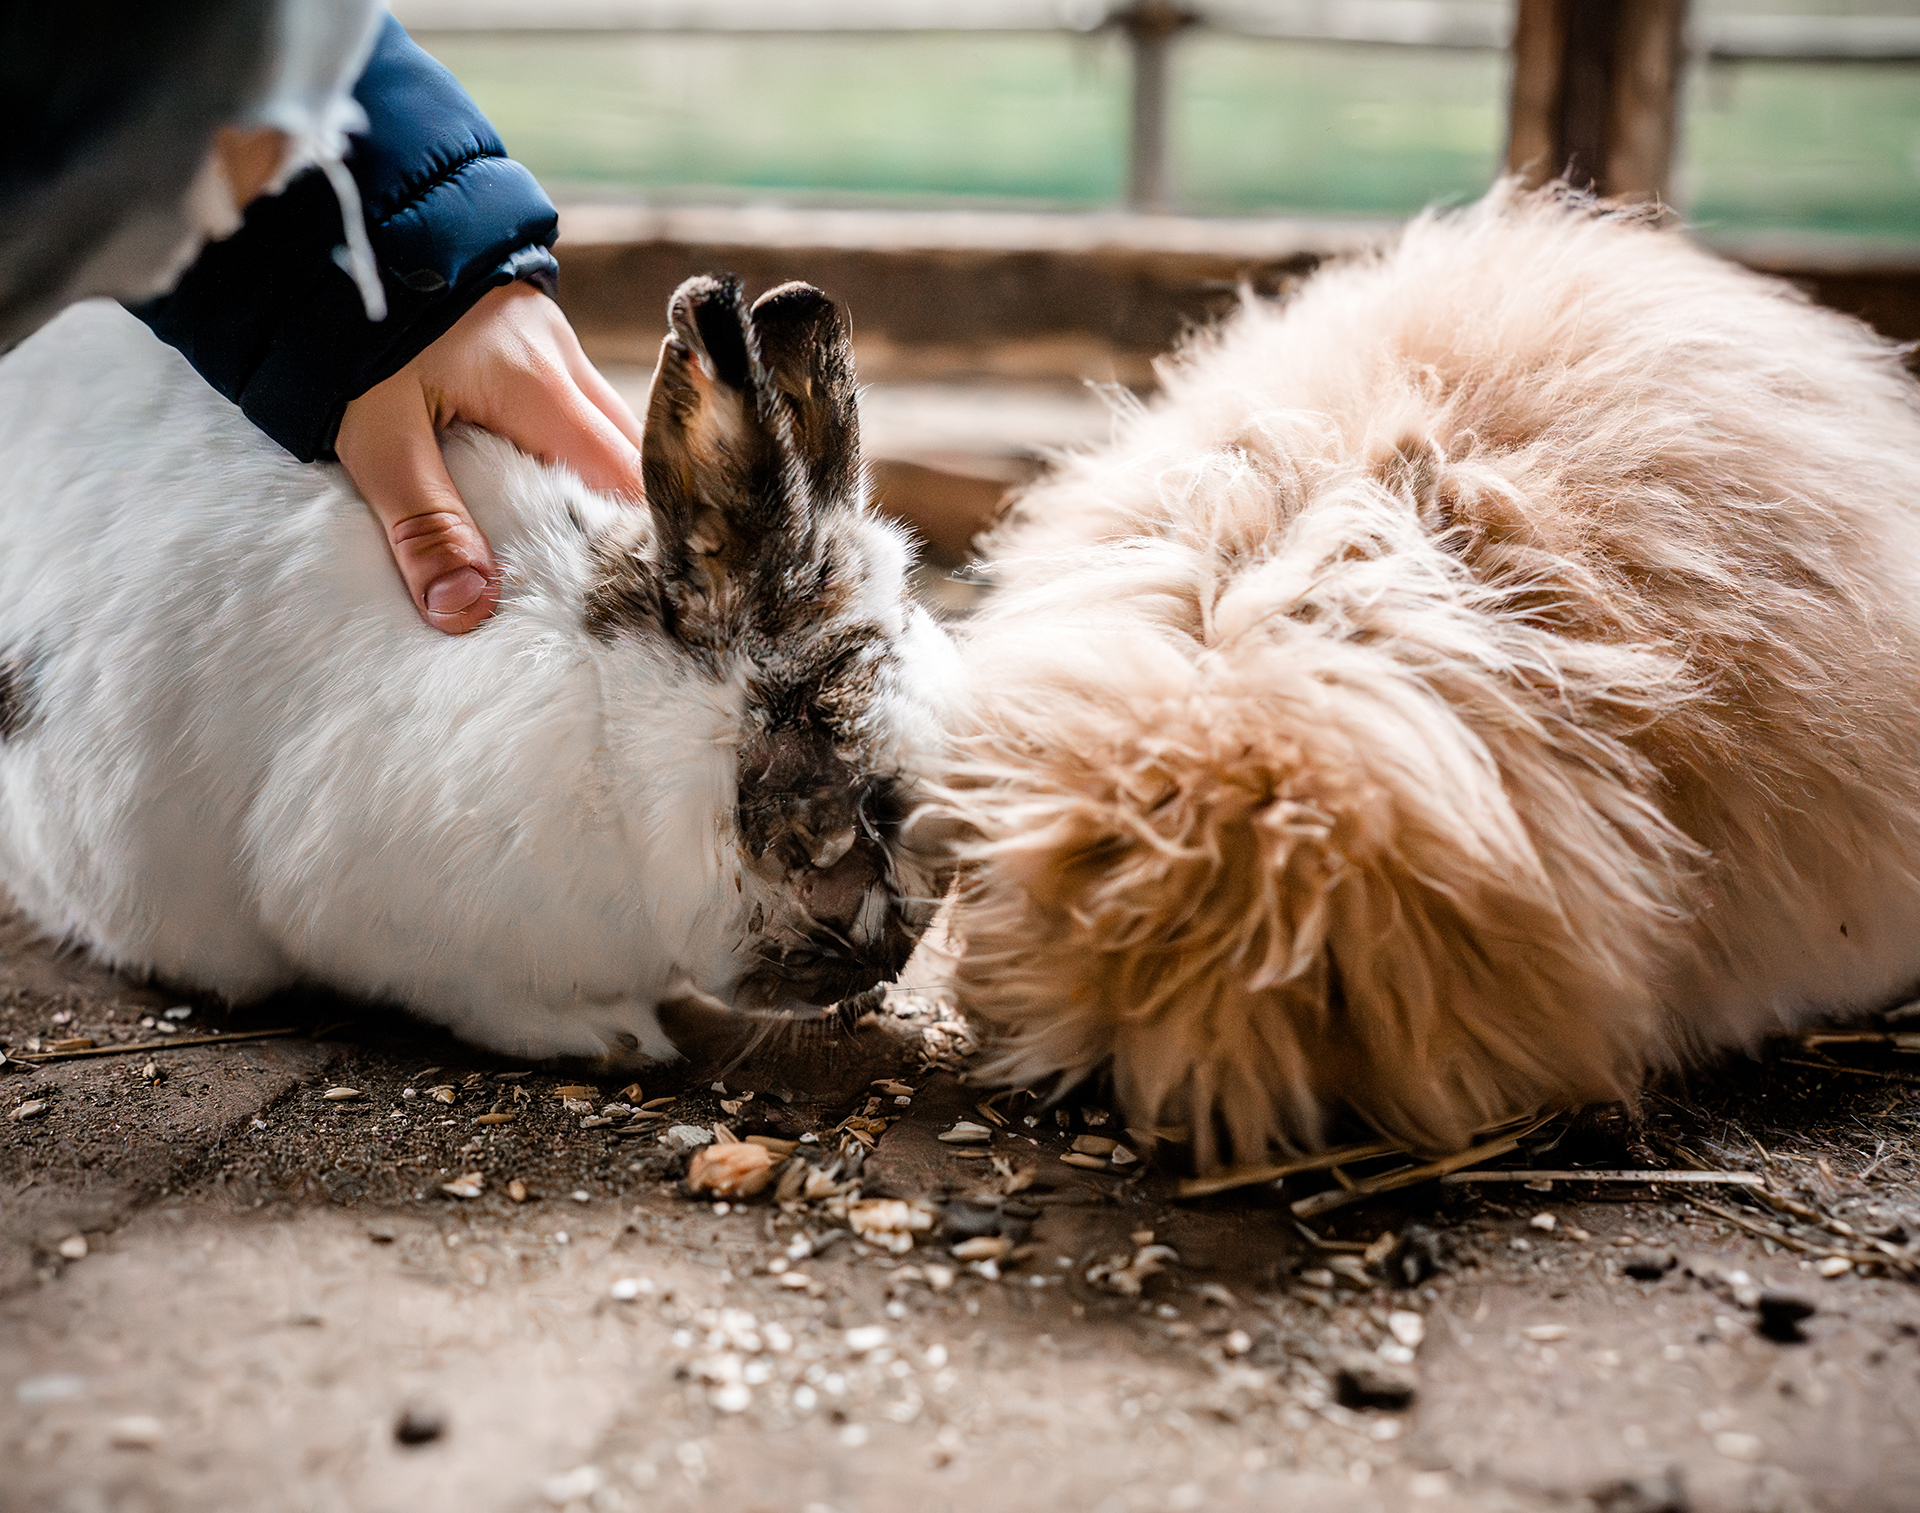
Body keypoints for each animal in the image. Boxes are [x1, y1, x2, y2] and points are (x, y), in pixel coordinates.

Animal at [0, 278, 960, 1059]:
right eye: (847, 791)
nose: (882, 970)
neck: (617, 738)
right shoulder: (371, 907)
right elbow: (476, 996)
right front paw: (615, 1039)